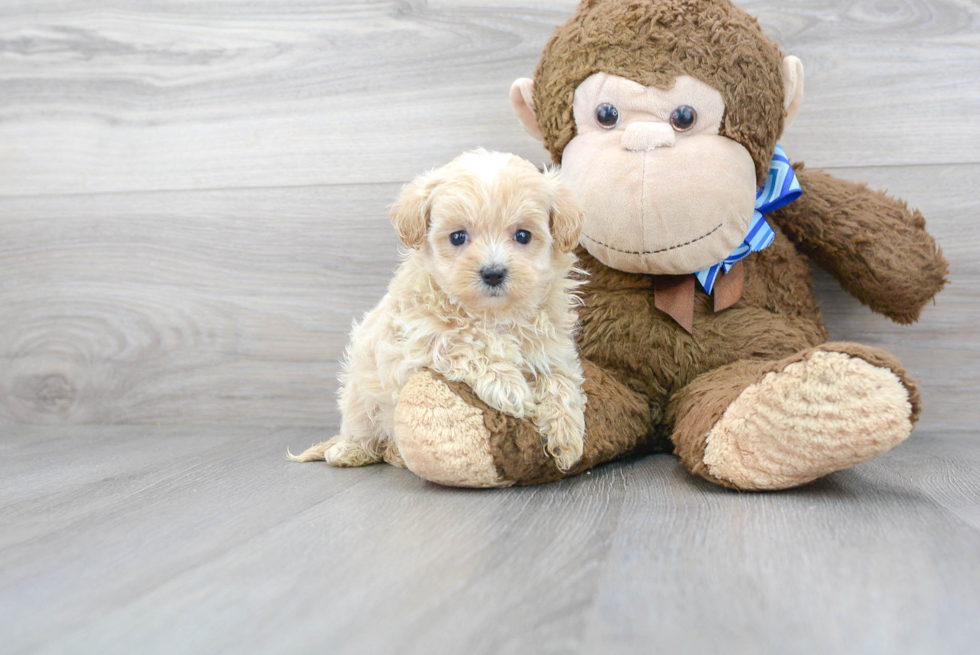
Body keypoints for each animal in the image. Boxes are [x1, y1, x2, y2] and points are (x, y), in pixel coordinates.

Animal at [288, 150, 584, 472]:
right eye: (457, 237)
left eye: (522, 235)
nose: (493, 273)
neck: (491, 314)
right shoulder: (418, 342)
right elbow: (465, 345)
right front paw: (509, 387)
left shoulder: (551, 349)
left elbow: (561, 382)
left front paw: (567, 437)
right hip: (359, 392)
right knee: (365, 430)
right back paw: (350, 451)